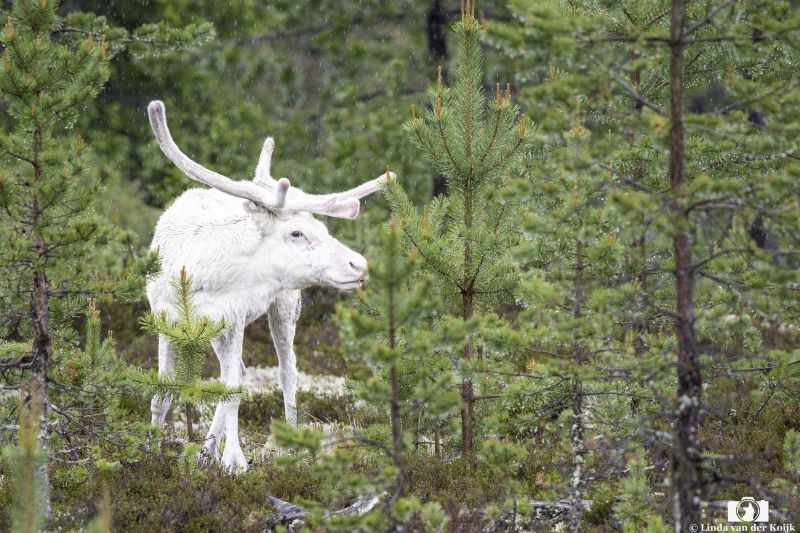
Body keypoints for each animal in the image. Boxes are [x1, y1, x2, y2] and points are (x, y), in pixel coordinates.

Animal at [145, 101, 392, 471]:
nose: (358, 264)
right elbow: (162, 394)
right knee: (239, 372)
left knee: (286, 372)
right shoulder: (163, 318)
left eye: (322, 227)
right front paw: (149, 449)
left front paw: (233, 460)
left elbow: (232, 390)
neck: (200, 276)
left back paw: (288, 441)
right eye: (296, 232)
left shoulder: (233, 319)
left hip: (284, 305)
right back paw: (205, 450)